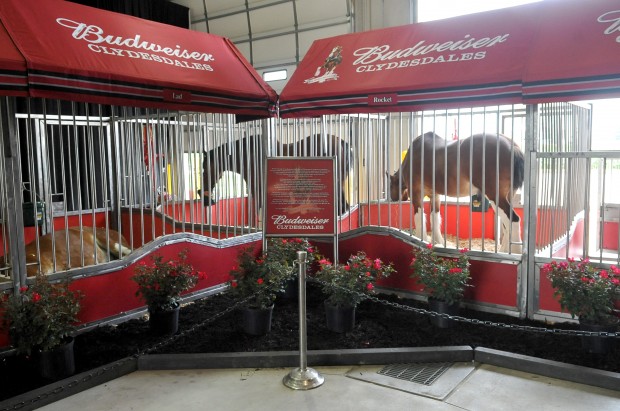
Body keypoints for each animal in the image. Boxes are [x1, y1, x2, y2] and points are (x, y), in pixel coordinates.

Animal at [390, 132, 524, 254]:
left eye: (390, 185)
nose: (392, 198)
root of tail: (512, 146)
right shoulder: (435, 195)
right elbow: (435, 217)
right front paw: (438, 242)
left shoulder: (416, 194)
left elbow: (419, 218)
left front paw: (421, 239)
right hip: (507, 197)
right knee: (506, 225)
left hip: (495, 197)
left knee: (513, 220)